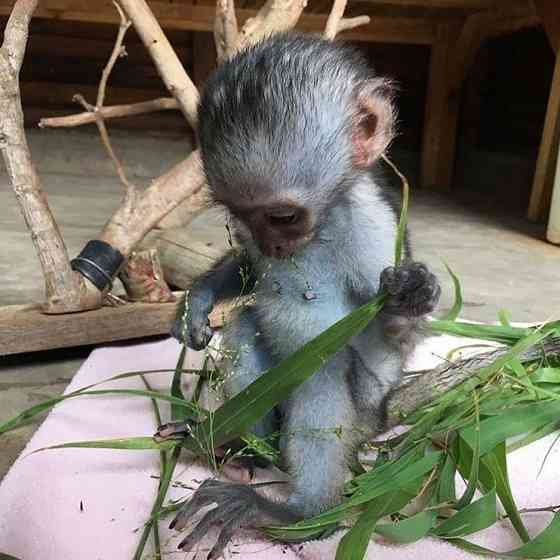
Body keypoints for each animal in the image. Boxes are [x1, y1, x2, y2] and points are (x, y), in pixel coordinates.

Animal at [160, 31, 440, 560]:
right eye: (240, 215)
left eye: (284, 217)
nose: (272, 245)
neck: (323, 227)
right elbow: (249, 275)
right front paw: (196, 302)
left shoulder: (371, 225)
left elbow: (388, 340)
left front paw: (412, 295)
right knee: (248, 326)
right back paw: (237, 446)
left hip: (364, 417)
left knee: (325, 367)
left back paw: (300, 513)